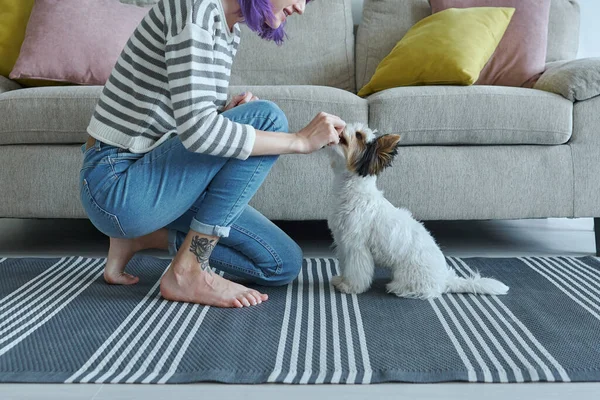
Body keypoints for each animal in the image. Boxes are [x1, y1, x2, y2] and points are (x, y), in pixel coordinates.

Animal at [326, 123, 508, 298]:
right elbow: (345, 265)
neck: (354, 192)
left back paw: (400, 288)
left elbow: (356, 271)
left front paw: (350, 287)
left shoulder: (356, 246)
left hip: (410, 273)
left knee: (424, 290)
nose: (341, 127)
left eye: (359, 135)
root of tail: (445, 279)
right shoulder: (343, 242)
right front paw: (341, 279)